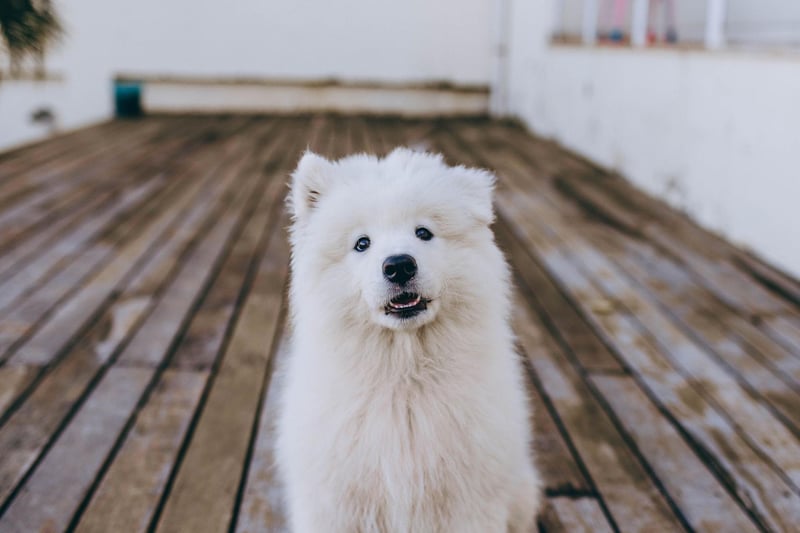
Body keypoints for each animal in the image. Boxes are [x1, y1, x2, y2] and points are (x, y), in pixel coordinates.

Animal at [274, 147, 536, 532]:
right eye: (362, 243)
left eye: (423, 232)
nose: (398, 265)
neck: (403, 374)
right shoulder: (337, 504)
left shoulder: (468, 503)